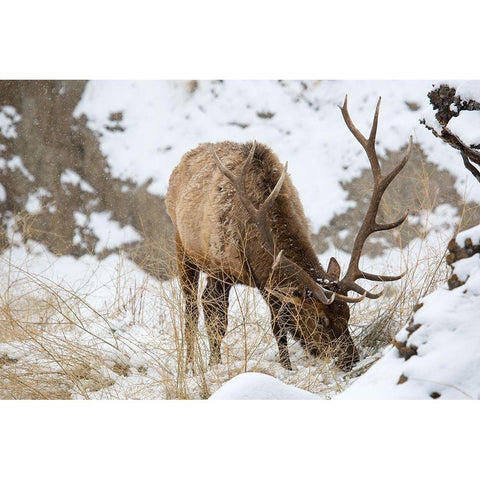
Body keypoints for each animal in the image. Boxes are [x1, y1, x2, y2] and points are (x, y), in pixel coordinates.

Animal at [166, 95, 412, 370]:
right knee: (192, 308)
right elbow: (225, 321)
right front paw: (217, 367)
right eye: (320, 320)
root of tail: (182, 162)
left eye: (347, 314)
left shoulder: (265, 282)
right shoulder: (230, 270)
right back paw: (191, 365)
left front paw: (286, 366)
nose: (351, 360)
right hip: (184, 247)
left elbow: (276, 325)